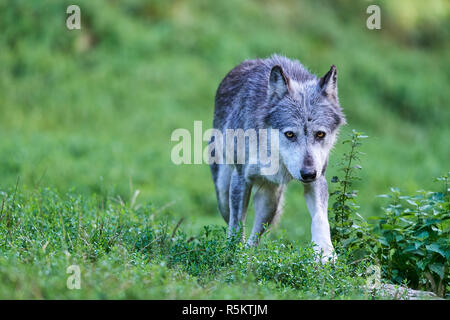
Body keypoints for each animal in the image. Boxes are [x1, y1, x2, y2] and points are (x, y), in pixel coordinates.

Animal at [209, 53, 346, 262]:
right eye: (290, 134)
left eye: (320, 134)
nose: (308, 173)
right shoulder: (241, 178)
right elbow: (237, 224)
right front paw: (232, 253)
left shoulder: (318, 178)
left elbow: (320, 219)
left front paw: (325, 254)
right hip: (224, 190)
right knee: (231, 216)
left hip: (271, 200)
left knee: (257, 233)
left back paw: (249, 255)